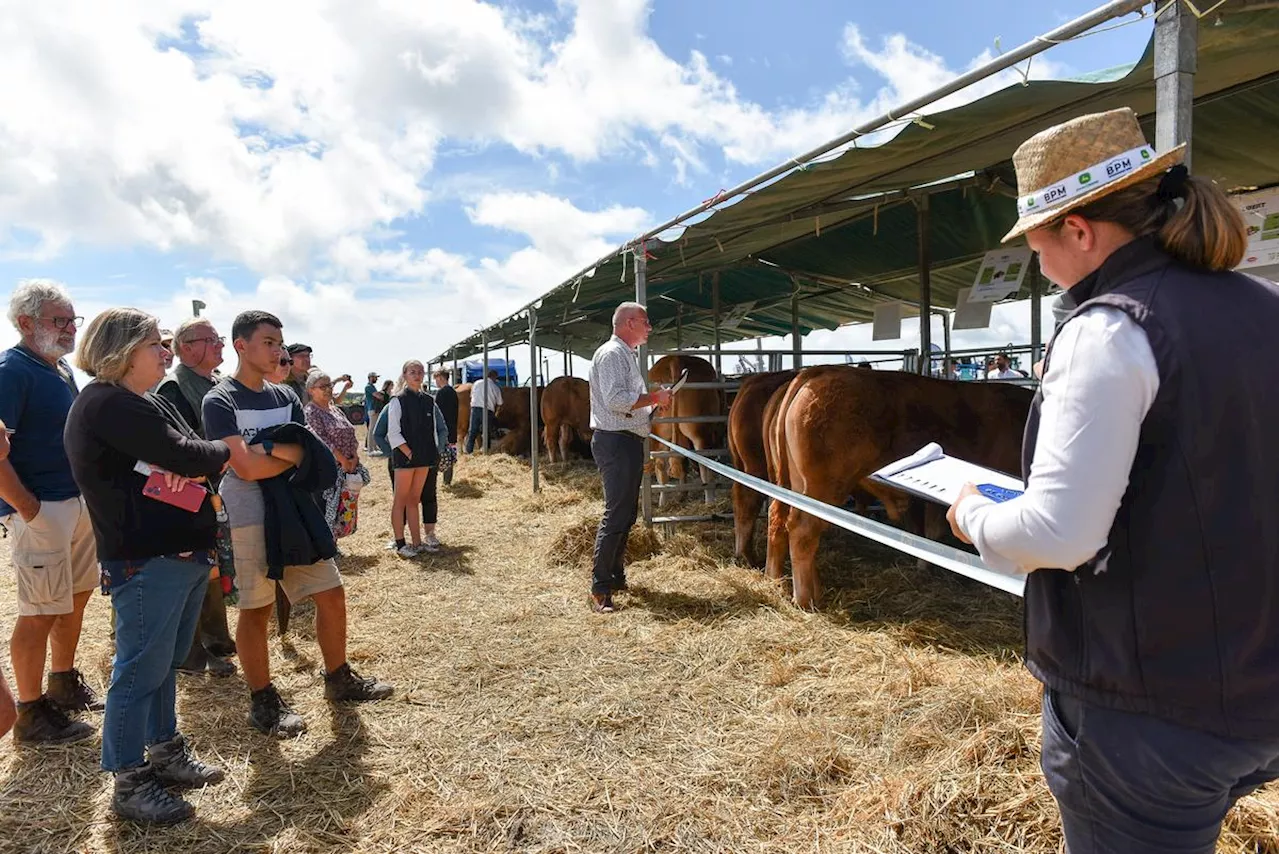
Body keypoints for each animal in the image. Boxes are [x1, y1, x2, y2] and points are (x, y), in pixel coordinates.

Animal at [650, 353, 721, 507]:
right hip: (700, 432)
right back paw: (709, 500)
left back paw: (663, 502)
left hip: (661, 433)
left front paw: (682, 495)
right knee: (703, 463)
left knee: (661, 463)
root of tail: (675, 358)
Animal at [762, 371, 1024, 612]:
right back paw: (805, 599)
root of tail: (816, 372)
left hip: (794, 484)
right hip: (822, 484)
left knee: (779, 520)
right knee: (803, 530)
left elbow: (929, 532)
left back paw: (779, 581)